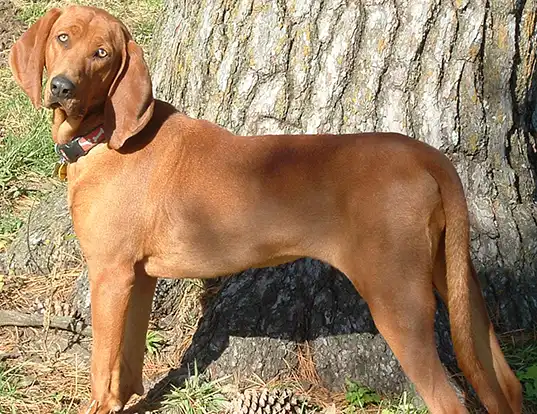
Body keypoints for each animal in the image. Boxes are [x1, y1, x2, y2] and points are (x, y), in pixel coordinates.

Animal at [8, 6, 520, 414]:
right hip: (458, 287)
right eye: (63, 37)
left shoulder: (110, 273)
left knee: (450, 401)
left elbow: (102, 371)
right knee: (505, 384)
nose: (62, 87)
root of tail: (425, 154)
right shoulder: (139, 276)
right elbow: (128, 367)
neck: (103, 136)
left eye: (103, 53)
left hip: (399, 302)